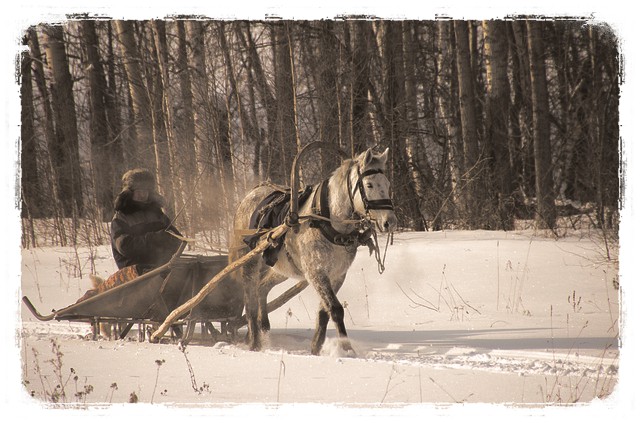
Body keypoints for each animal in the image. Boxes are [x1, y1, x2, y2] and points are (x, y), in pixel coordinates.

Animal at [230, 149, 398, 354]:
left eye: (388, 184)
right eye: (369, 184)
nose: (390, 222)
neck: (329, 220)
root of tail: (250, 194)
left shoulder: (337, 274)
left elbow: (324, 311)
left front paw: (316, 346)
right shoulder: (316, 272)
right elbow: (335, 309)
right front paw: (346, 348)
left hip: (282, 268)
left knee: (262, 287)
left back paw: (261, 329)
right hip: (250, 260)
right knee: (250, 298)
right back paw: (254, 341)